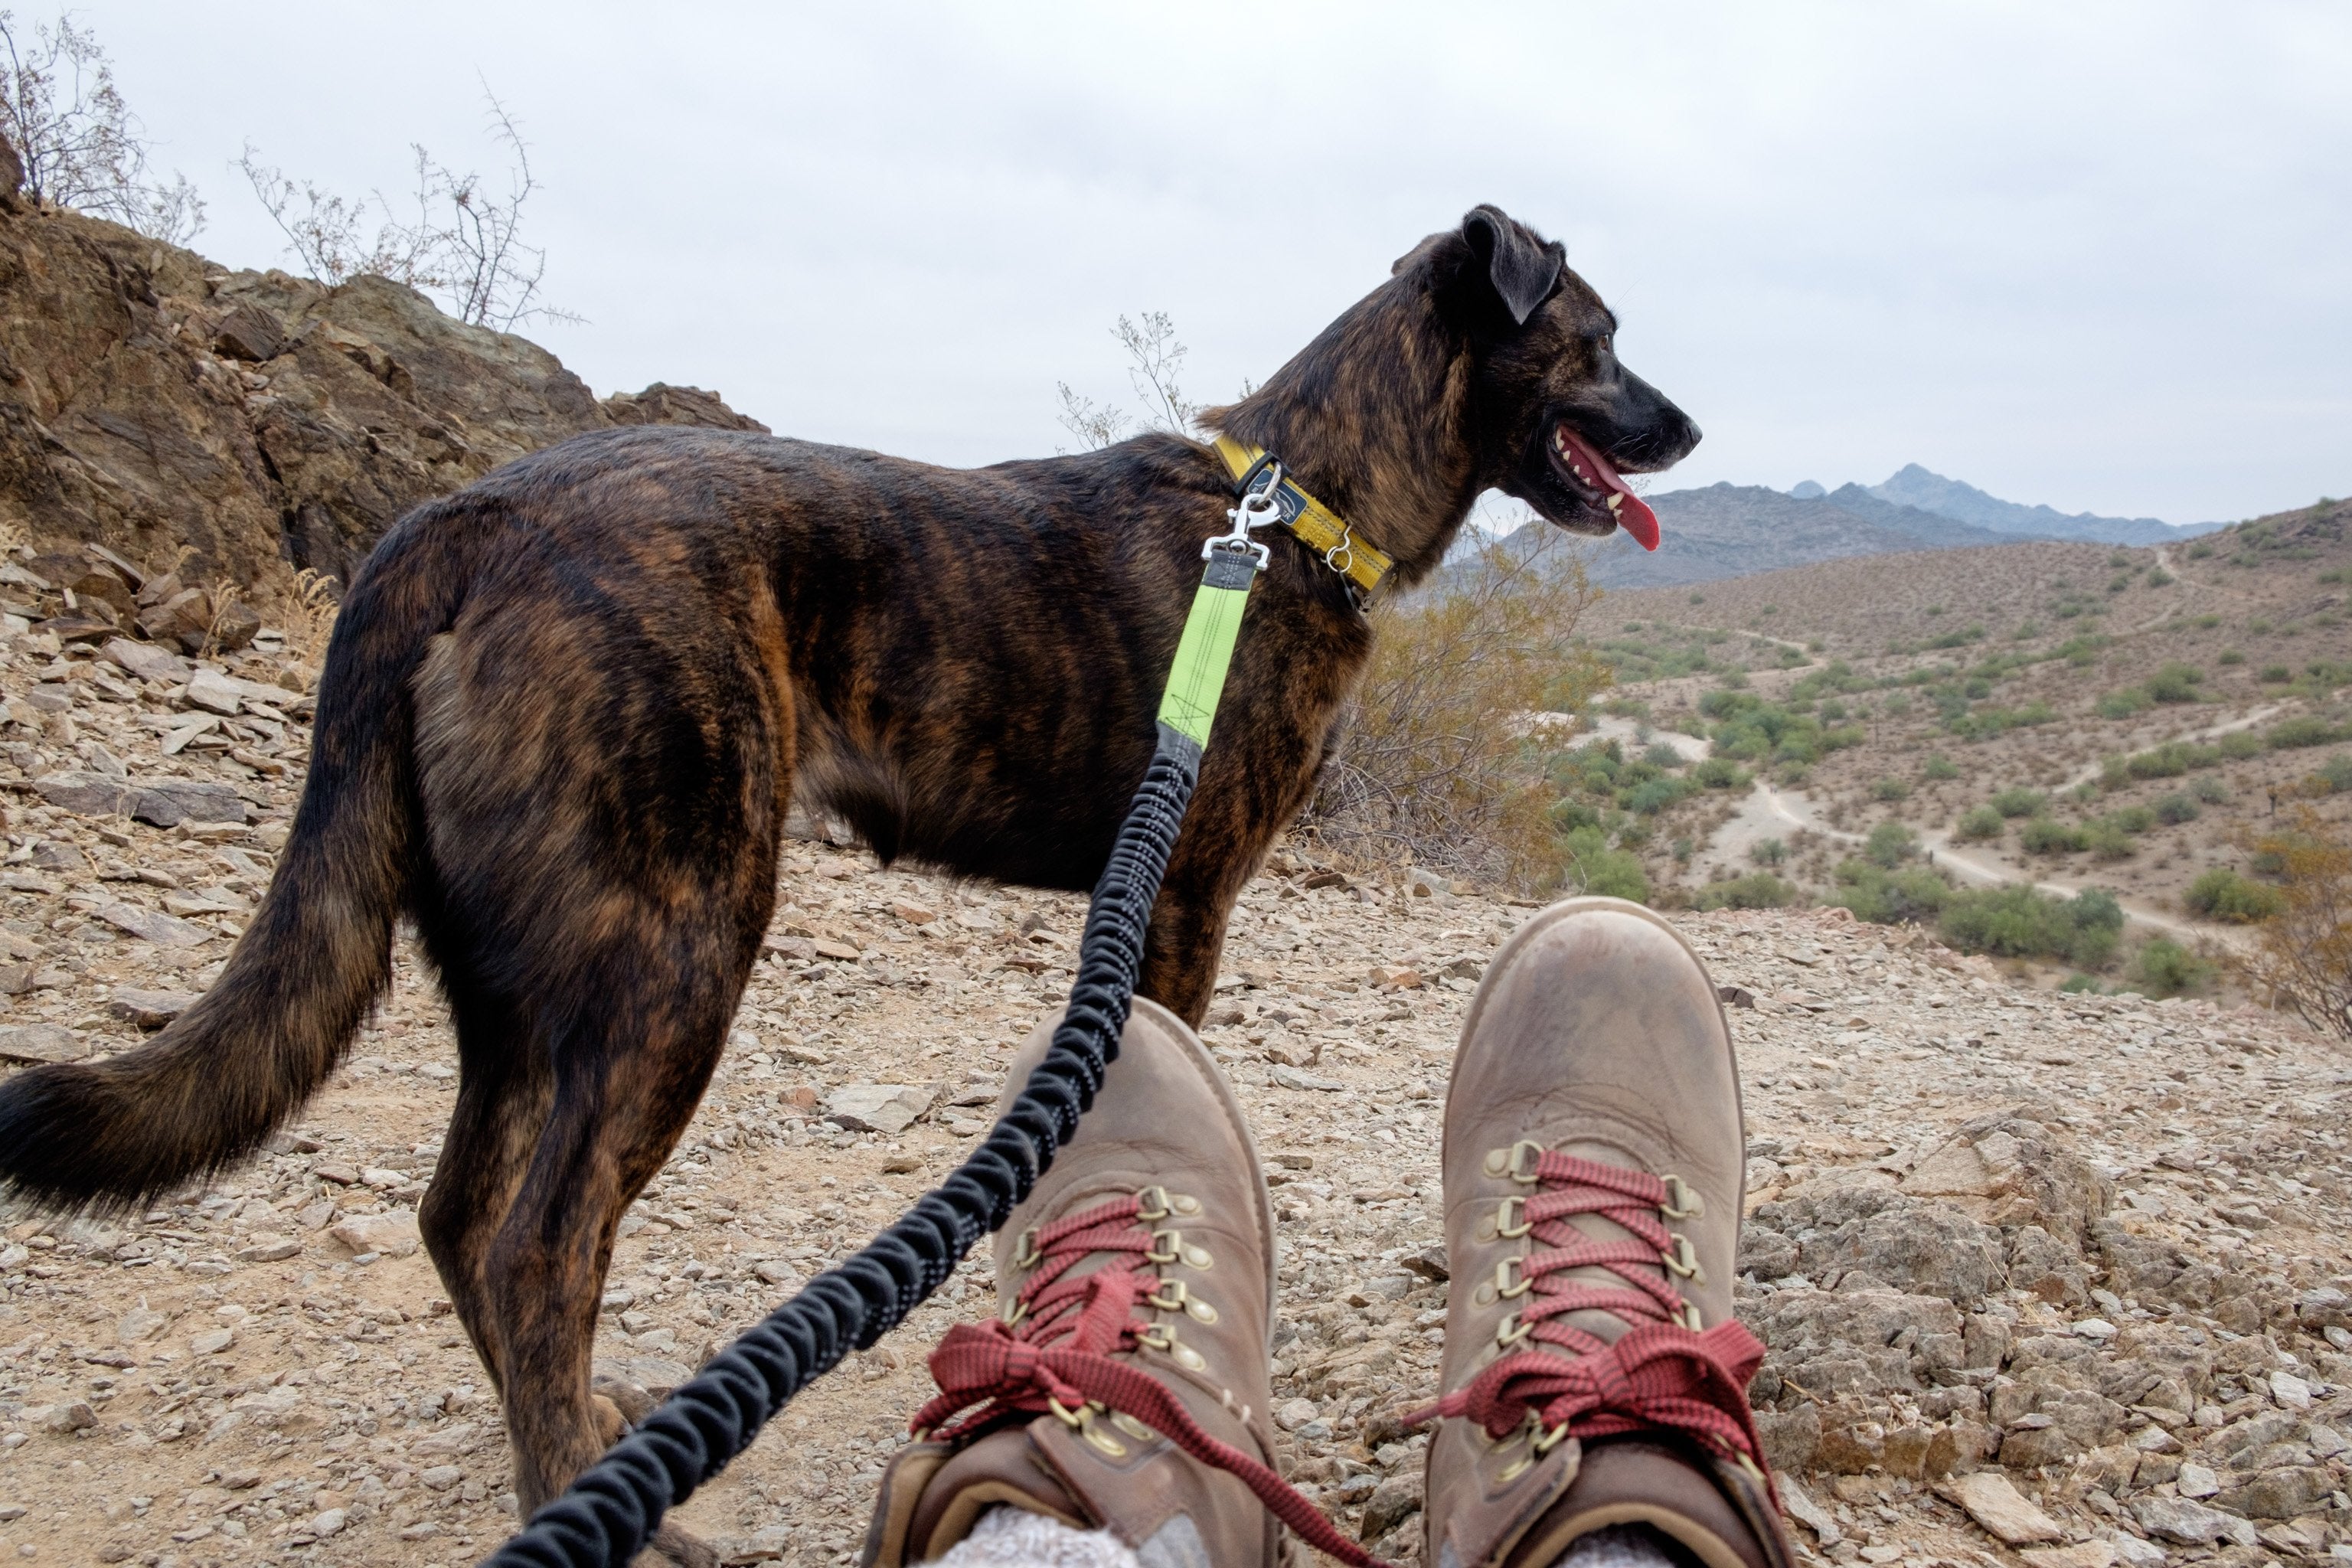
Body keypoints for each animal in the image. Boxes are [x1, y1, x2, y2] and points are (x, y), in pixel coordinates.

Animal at [0, 202, 1693, 1551]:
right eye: (1599, 339)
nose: (1688, 428)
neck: (1295, 501)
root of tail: (467, 515)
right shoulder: (1184, 899)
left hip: (526, 981)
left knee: (456, 1215)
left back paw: (582, 1443)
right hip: (675, 949)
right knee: (541, 1243)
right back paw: (594, 1498)